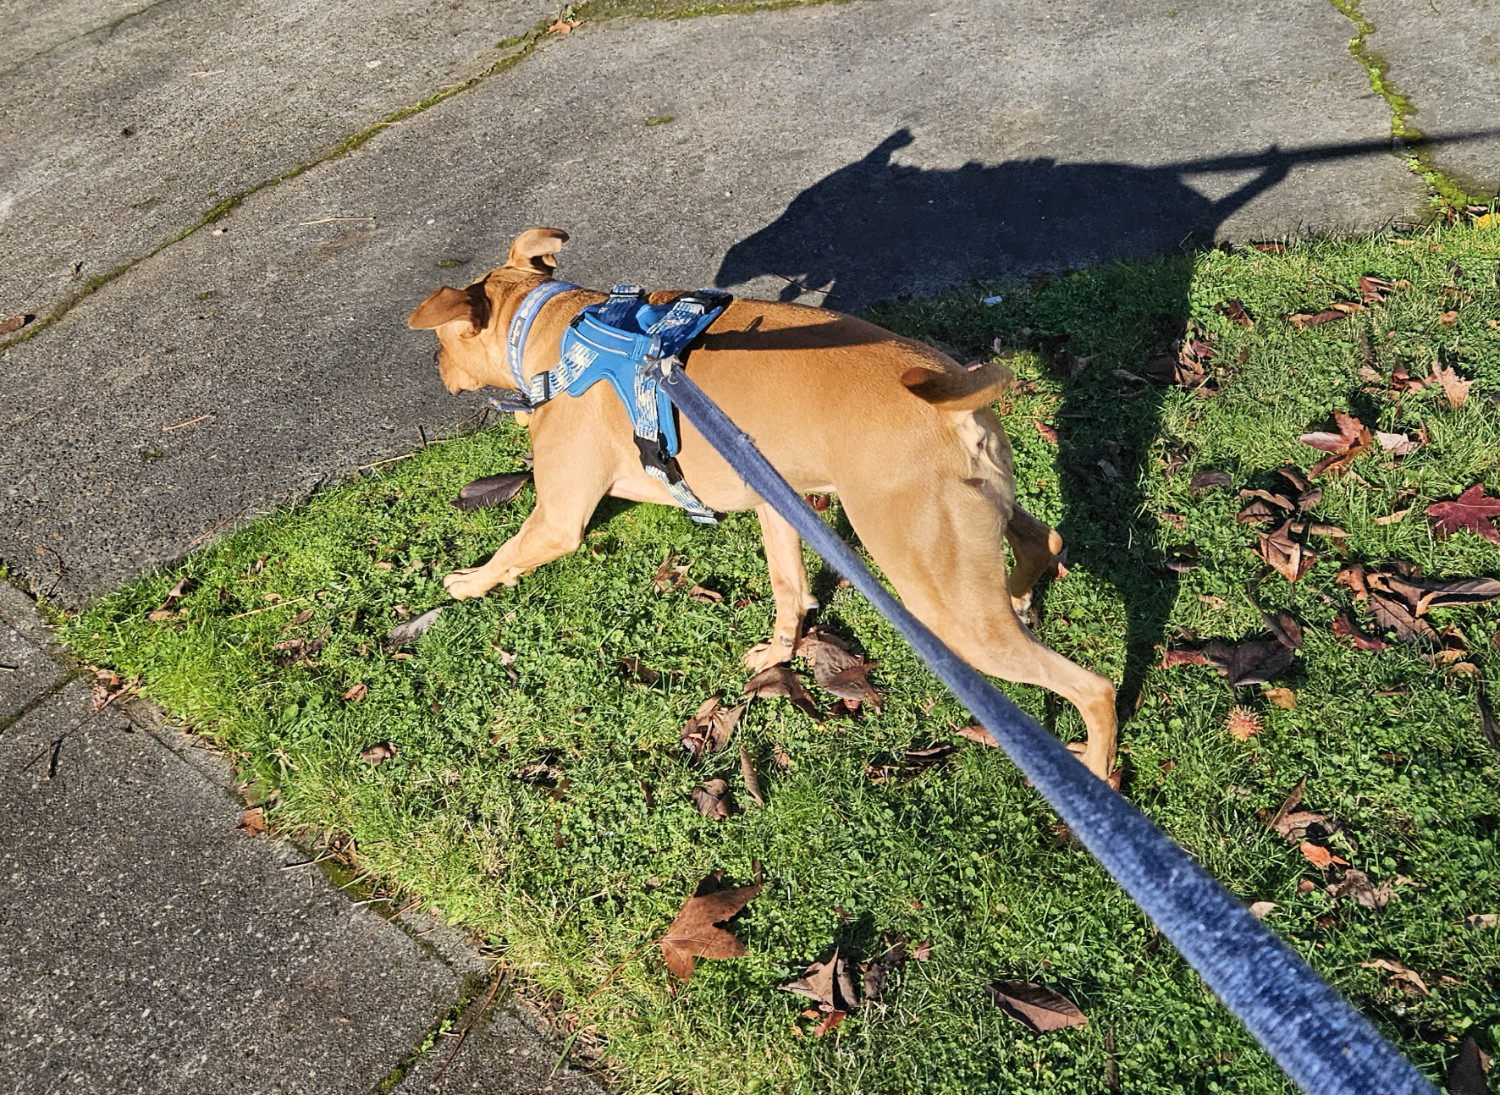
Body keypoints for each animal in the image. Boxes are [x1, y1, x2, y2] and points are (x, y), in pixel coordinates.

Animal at [408, 226, 1116, 774]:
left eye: (439, 343)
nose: (437, 371)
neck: (561, 331)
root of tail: (952, 395)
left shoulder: (558, 519)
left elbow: (509, 553)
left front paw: (467, 582)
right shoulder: (778, 503)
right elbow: (788, 589)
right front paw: (779, 655)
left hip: (944, 603)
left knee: (1095, 688)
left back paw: (1098, 767)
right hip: (976, 521)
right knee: (1044, 539)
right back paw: (1023, 594)